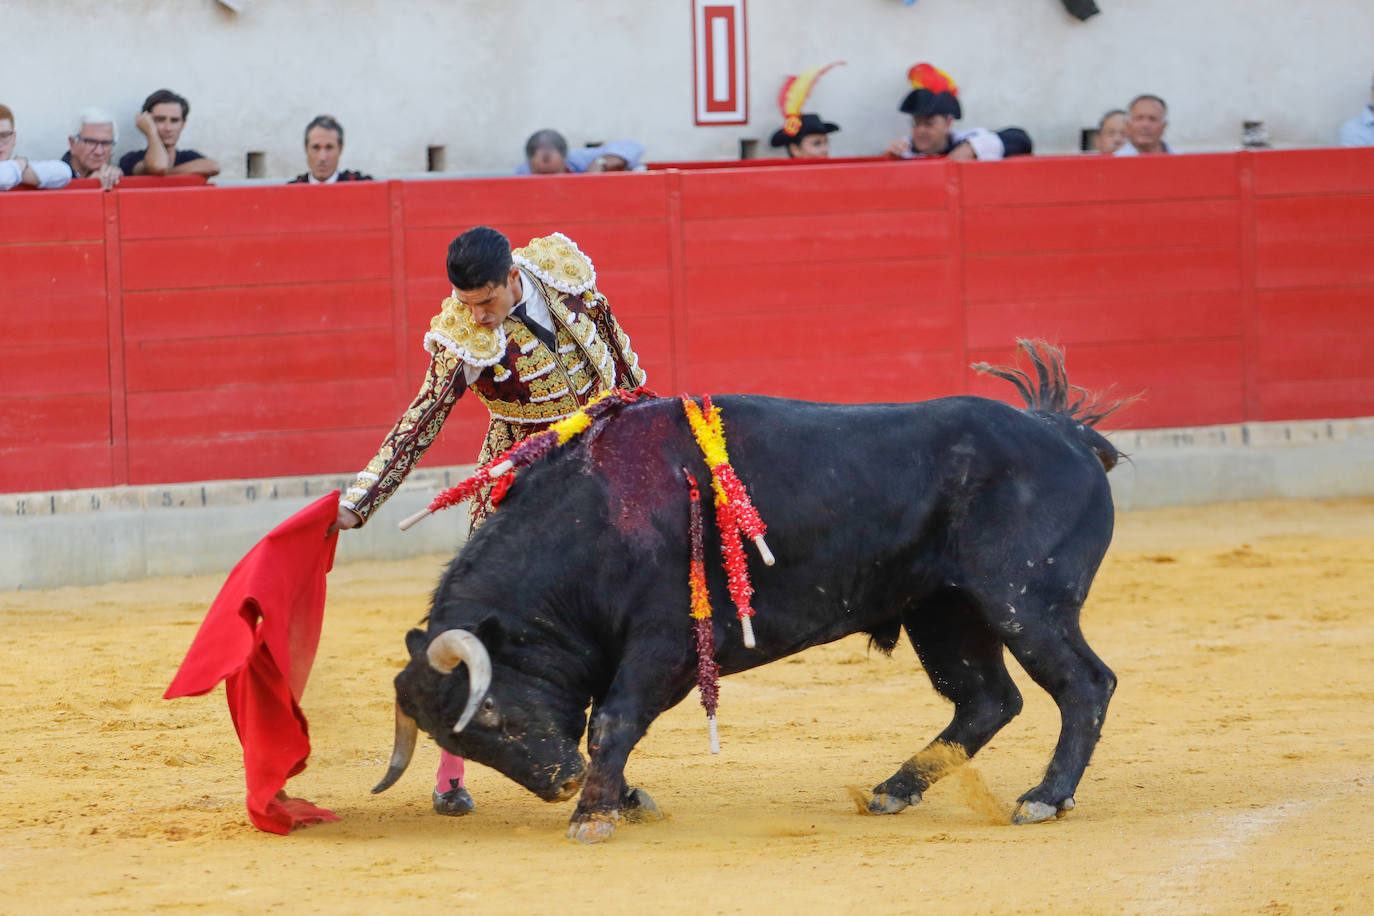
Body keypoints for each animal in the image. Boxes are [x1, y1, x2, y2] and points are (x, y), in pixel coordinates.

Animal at [373, 346, 1115, 845]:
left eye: (493, 713)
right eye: (461, 740)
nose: (559, 782)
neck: (596, 515)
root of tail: (1063, 433)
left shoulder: (665, 640)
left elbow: (610, 720)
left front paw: (592, 814)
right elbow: (607, 726)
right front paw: (616, 799)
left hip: (1024, 602)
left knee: (1085, 684)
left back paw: (1044, 798)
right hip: (945, 612)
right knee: (988, 700)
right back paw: (892, 791)